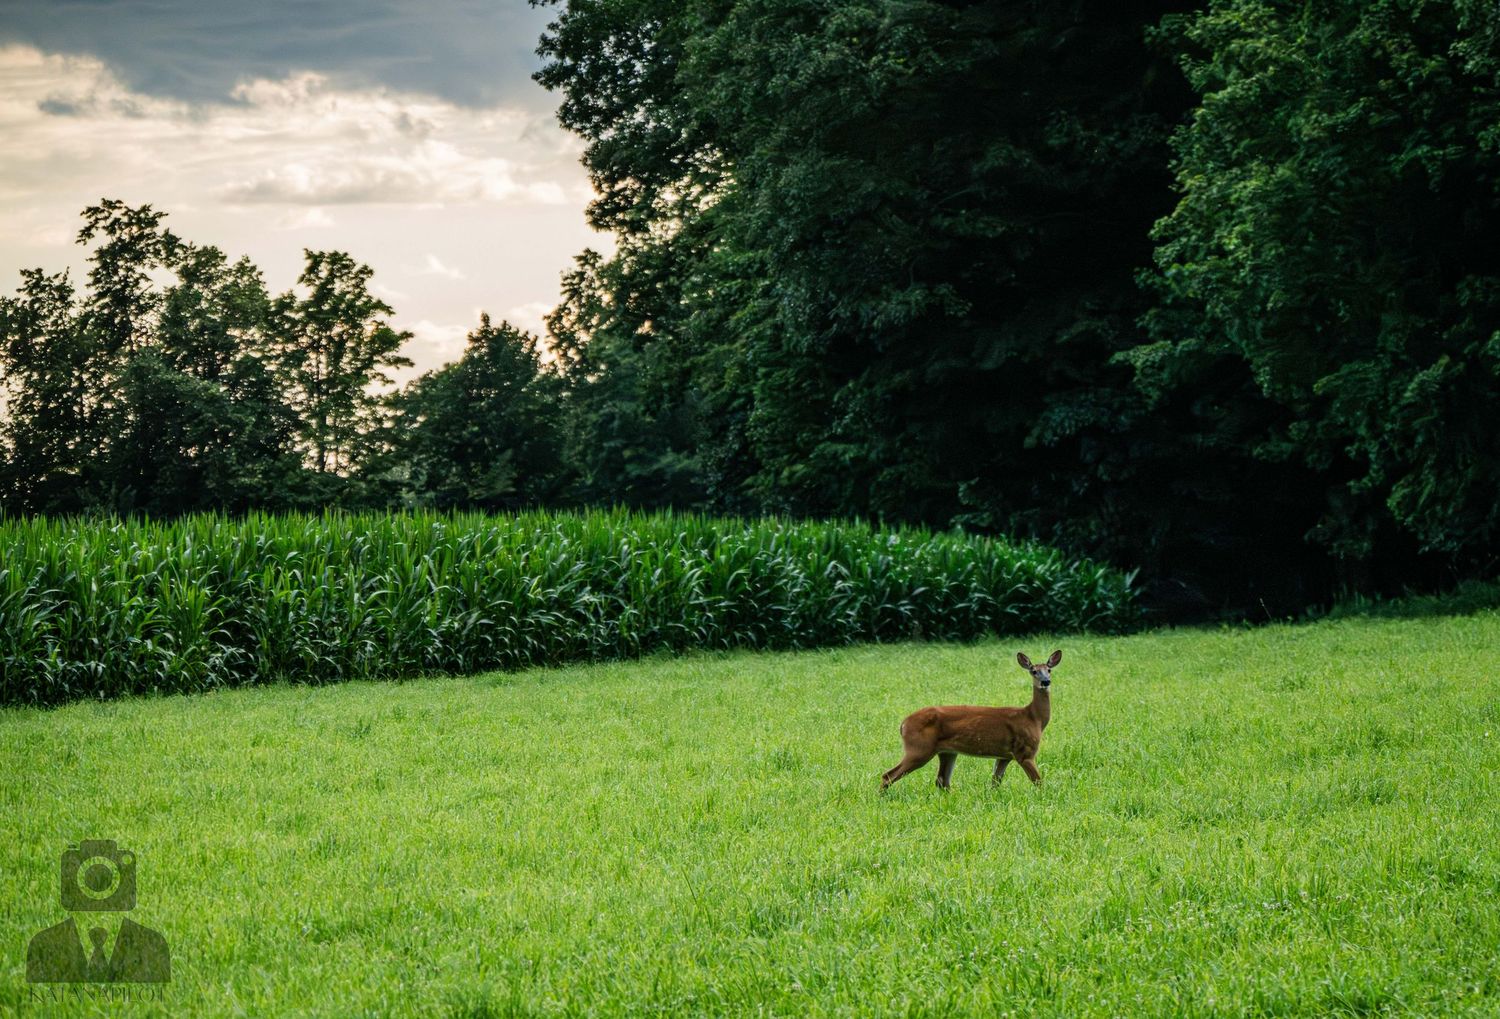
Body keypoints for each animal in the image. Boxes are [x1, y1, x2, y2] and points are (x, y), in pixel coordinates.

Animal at [880, 650, 1060, 792]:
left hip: (946, 751)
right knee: (888, 775)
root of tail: (903, 724)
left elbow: (995, 782)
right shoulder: (1025, 751)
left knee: (942, 781)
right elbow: (1039, 782)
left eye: (1049, 669)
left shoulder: (1005, 755)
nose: (1046, 681)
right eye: (1033, 671)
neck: (1033, 718)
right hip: (919, 747)